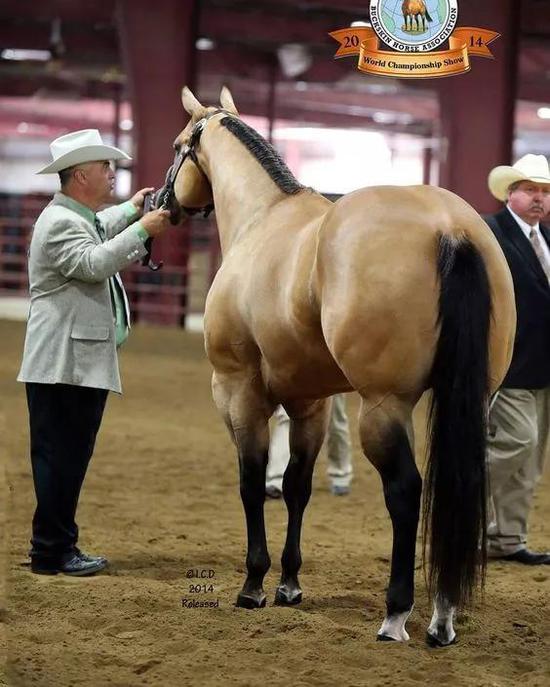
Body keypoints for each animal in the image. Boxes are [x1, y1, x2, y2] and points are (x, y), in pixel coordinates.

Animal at [158, 84, 516, 644]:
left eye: (178, 148)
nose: (160, 202)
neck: (263, 218)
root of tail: (450, 228)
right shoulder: (312, 404)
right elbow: (297, 487)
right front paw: (288, 584)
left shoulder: (238, 393)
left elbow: (251, 483)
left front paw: (253, 585)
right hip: (471, 401)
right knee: (454, 491)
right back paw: (443, 618)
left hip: (382, 407)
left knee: (405, 491)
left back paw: (396, 614)